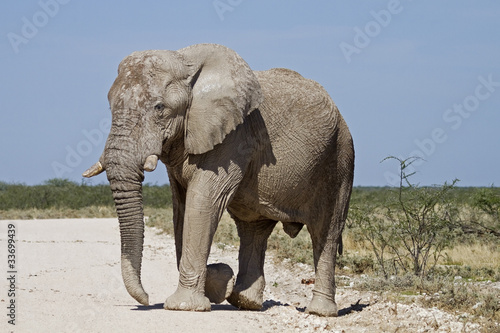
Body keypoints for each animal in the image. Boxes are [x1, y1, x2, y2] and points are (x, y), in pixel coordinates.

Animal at [83, 42, 356, 316]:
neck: (186, 62)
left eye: (159, 108)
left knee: (325, 231)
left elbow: (202, 203)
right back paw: (245, 301)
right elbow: (181, 208)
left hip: (340, 159)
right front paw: (219, 282)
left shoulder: (233, 138)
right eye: (110, 106)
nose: (147, 299)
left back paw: (319, 312)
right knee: (253, 229)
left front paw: (185, 306)